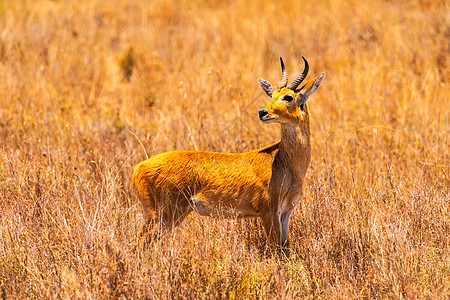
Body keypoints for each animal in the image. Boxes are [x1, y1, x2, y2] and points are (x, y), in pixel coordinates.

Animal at [132, 57, 326, 252]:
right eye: (271, 96)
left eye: (288, 96)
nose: (263, 112)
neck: (283, 161)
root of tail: (139, 167)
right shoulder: (268, 211)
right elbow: (276, 248)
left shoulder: (286, 212)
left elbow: (284, 246)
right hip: (161, 215)